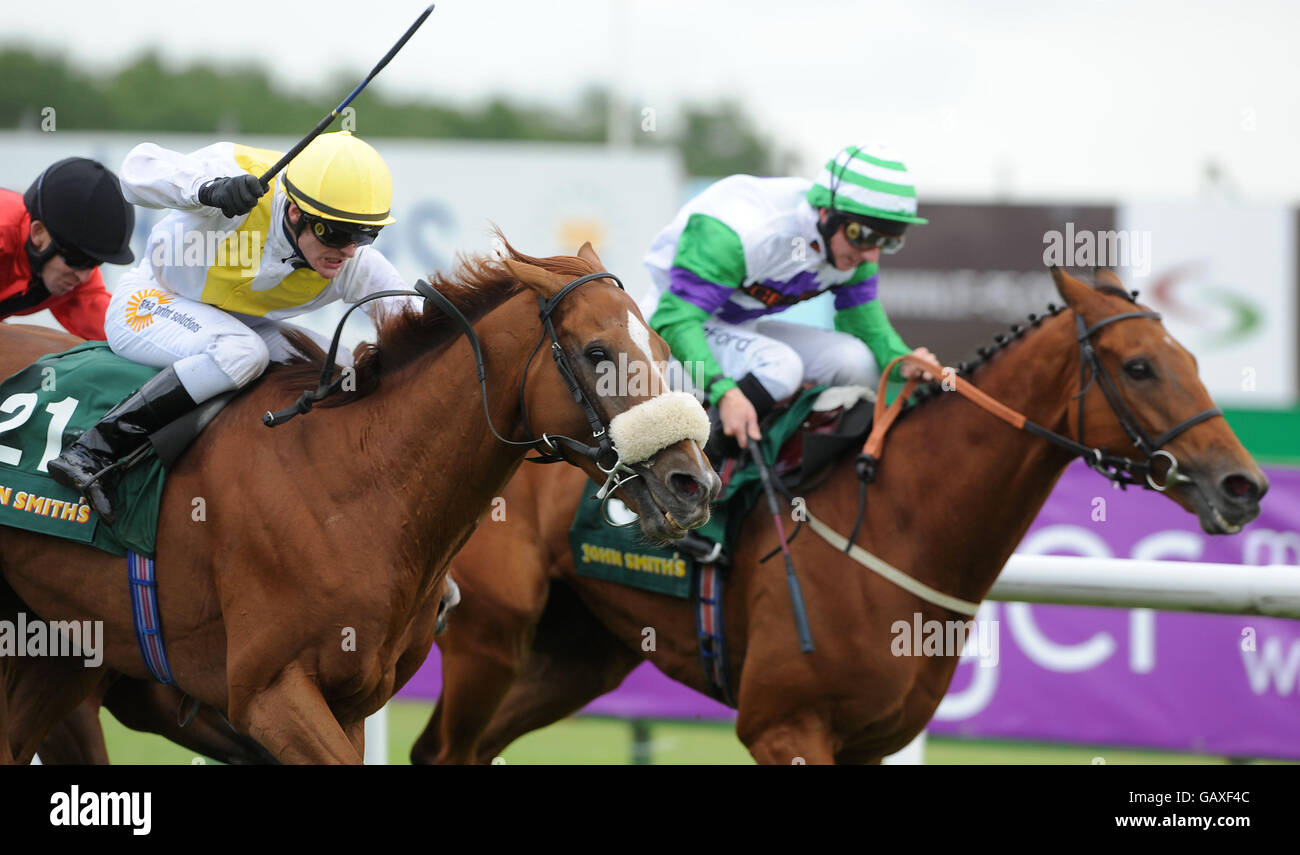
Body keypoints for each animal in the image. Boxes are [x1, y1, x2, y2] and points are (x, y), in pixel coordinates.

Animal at [0, 237, 722, 758]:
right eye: (598, 352)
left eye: (662, 346)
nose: (694, 483)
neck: (355, 482)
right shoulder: (268, 692)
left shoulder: (350, 700)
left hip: (58, 640)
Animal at [408, 266, 1268, 758]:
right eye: (1141, 366)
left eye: (1193, 359)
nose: (1245, 485)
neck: (897, 520)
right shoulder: (783, 725)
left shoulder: (869, 742)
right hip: (490, 637)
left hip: (576, 652)